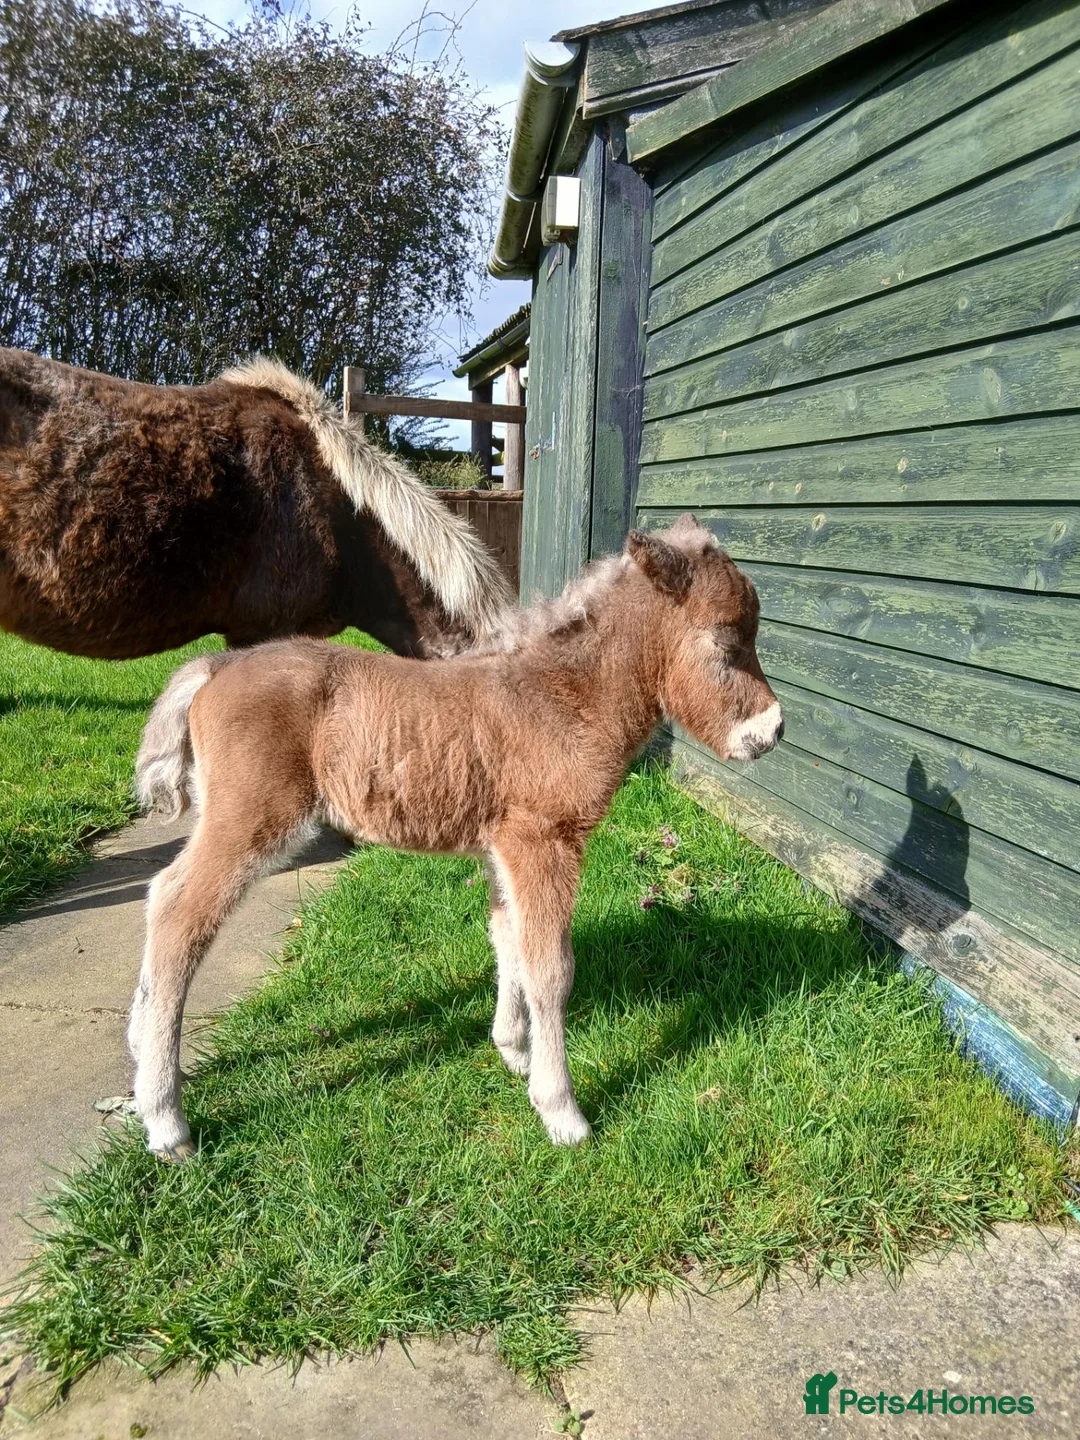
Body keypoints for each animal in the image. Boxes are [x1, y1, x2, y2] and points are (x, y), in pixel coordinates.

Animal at [128, 514, 784, 1158]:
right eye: (728, 642)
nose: (773, 731)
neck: (565, 698)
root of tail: (215, 667)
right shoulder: (544, 841)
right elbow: (551, 969)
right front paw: (561, 1111)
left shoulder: (504, 848)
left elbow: (508, 938)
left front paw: (513, 1050)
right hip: (250, 817)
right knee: (180, 914)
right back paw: (165, 1120)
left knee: (162, 896)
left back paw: (139, 1047)